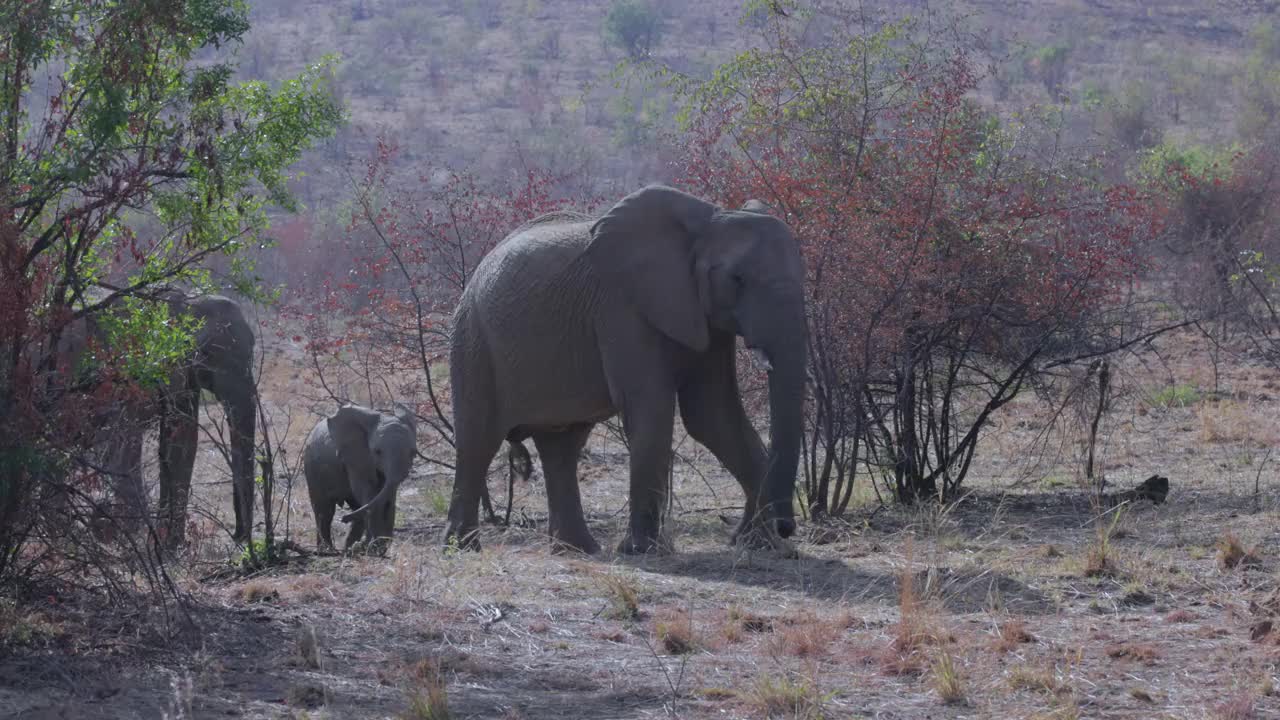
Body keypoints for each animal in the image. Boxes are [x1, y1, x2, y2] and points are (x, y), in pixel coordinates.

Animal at [302, 399, 417, 550]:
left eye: (413, 453)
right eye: (377, 452)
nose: (344, 518)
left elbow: (387, 497)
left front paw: (374, 547)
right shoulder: (356, 458)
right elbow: (367, 491)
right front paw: (372, 547)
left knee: (356, 508)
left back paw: (348, 548)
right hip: (312, 468)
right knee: (324, 511)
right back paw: (328, 550)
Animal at [445, 181, 803, 550]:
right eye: (737, 279)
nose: (787, 527)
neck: (708, 220)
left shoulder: (707, 320)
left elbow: (713, 415)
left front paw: (761, 545)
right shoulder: (620, 305)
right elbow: (653, 407)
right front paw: (641, 551)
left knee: (562, 447)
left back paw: (578, 548)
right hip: (472, 339)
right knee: (478, 440)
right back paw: (462, 546)